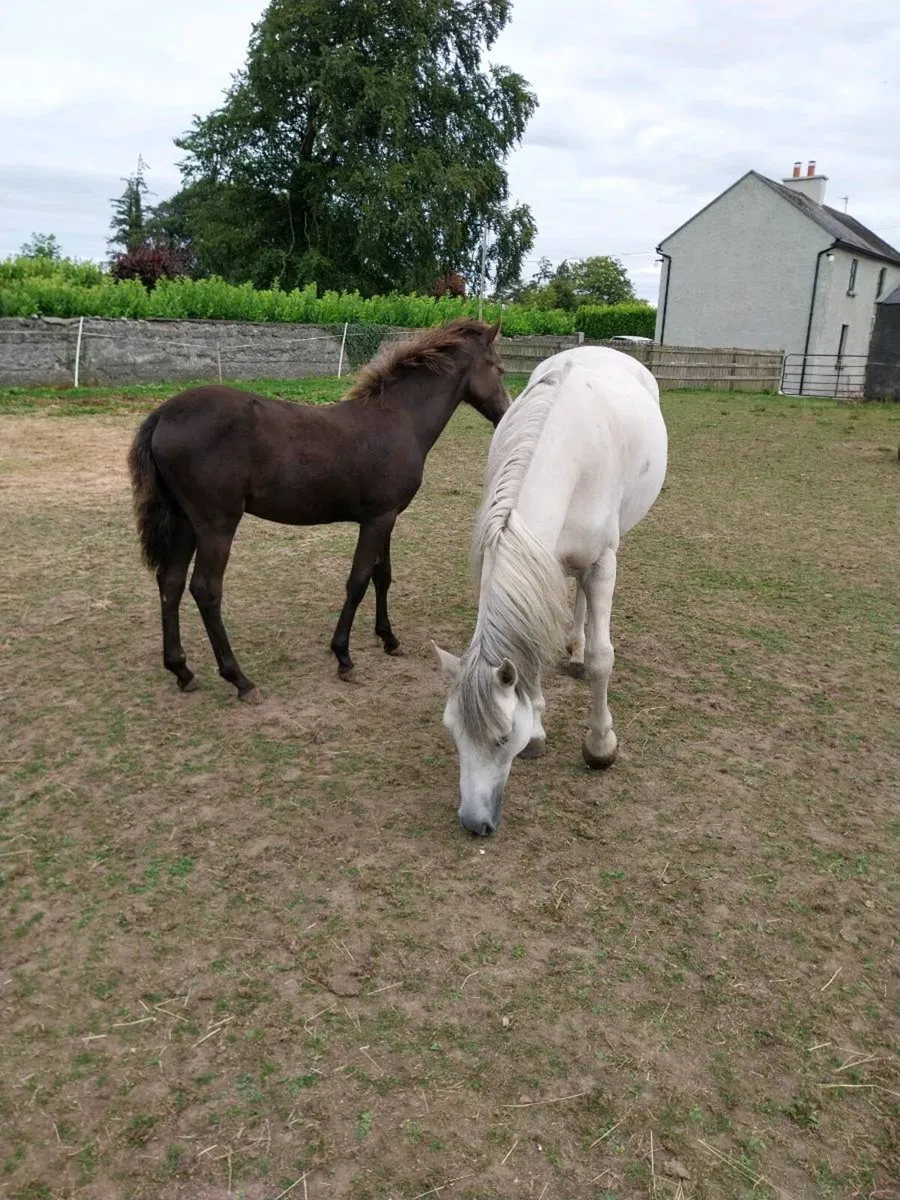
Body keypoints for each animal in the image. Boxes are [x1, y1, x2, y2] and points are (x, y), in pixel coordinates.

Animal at [128, 318, 509, 701]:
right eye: (499, 368)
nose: (505, 414)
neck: (398, 419)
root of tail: (163, 414)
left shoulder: (386, 517)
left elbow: (382, 575)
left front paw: (388, 638)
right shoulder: (377, 520)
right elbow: (358, 581)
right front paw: (344, 657)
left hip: (184, 521)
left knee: (170, 581)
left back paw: (182, 670)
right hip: (216, 524)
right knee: (205, 589)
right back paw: (240, 679)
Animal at [433, 345, 668, 835]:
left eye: (502, 737)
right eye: (452, 732)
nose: (473, 823)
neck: (565, 453)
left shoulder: (603, 563)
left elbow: (602, 659)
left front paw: (600, 746)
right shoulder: (536, 567)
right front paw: (539, 733)